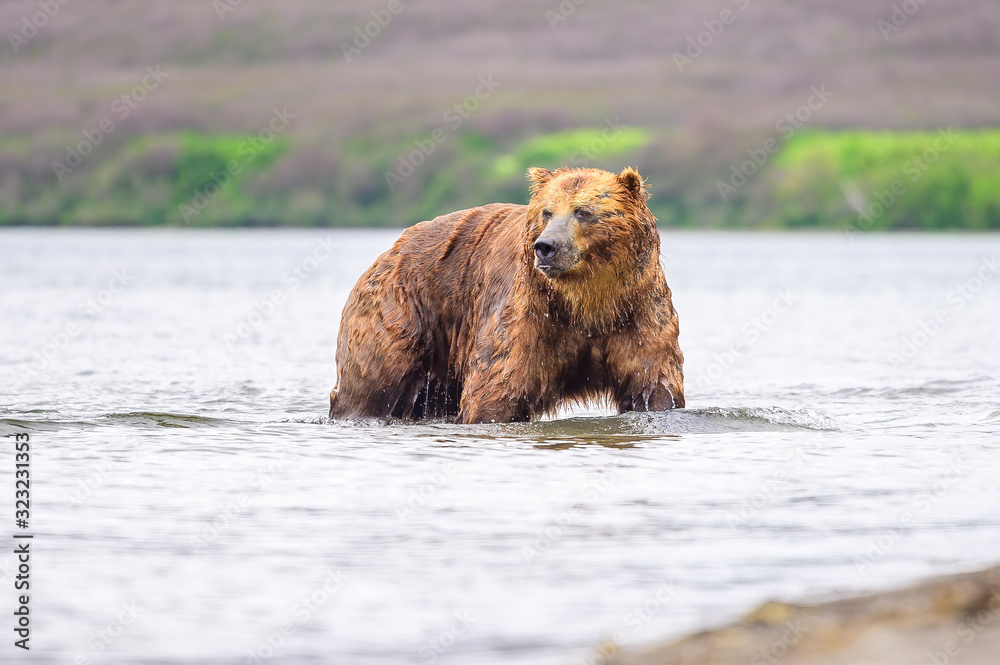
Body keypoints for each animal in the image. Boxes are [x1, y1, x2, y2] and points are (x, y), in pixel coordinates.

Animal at [332, 169, 684, 422]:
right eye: (547, 212)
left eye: (583, 211)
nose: (546, 246)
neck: (586, 302)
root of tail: (391, 250)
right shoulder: (530, 315)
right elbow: (496, 388)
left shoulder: (637, 312)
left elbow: (654, 385)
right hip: (402, 312)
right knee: (373, 383)